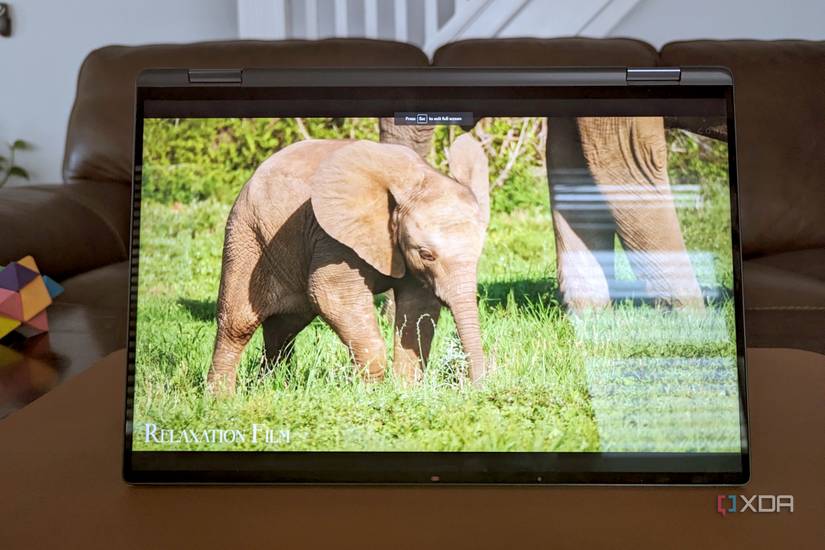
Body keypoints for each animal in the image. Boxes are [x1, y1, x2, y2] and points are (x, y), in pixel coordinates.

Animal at [207, 134, 490, 394]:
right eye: (426, 254)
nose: (474, 389)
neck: (417, 179)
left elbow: (418, 308)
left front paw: (405, 391)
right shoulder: (334, 238)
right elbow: (330, 295)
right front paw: (372, 394)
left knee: (285, 325)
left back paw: (272, 387)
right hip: (246, 234)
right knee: (238, 324)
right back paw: (222, 399)